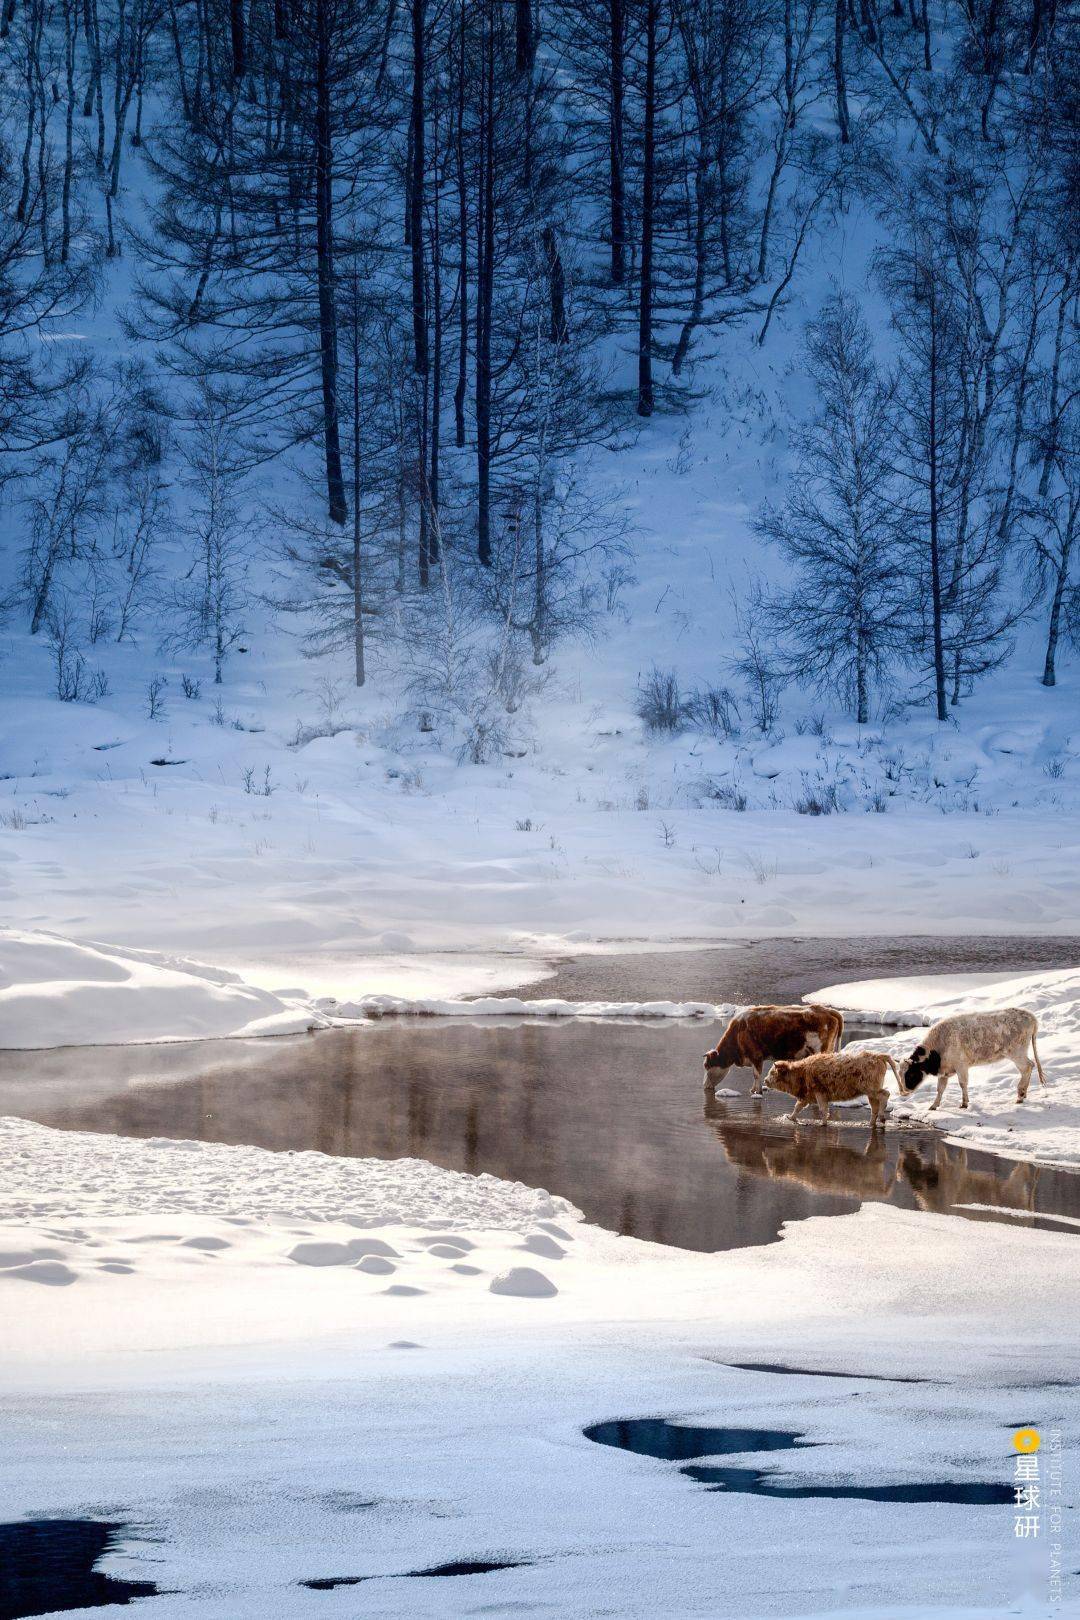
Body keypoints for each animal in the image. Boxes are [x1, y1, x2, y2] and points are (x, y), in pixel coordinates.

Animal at [702, 997, 841, 1101]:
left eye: (707, 1066)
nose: (704, 1086)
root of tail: (826, 1010)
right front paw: (753, 1090)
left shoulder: (756, 1056)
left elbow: (756, 1074)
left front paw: (757, 1092)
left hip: (821, 1050)